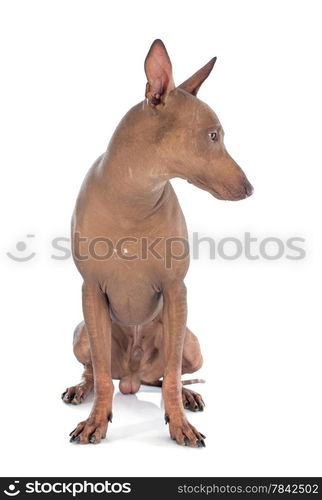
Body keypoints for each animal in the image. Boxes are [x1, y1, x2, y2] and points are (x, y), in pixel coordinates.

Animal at [63, 38, 253, 446]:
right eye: (213, 136)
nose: (250, 189)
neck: (135, 195)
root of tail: (134, 378)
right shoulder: (91, 291)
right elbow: (102, 376)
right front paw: (96, 421)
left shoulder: (176, 290)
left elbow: (171, 379)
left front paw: (179, 423)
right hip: (82, 333)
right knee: (95, 372)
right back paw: (80, 389)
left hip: (190, 341)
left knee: (169, 374)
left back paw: (187, 394)